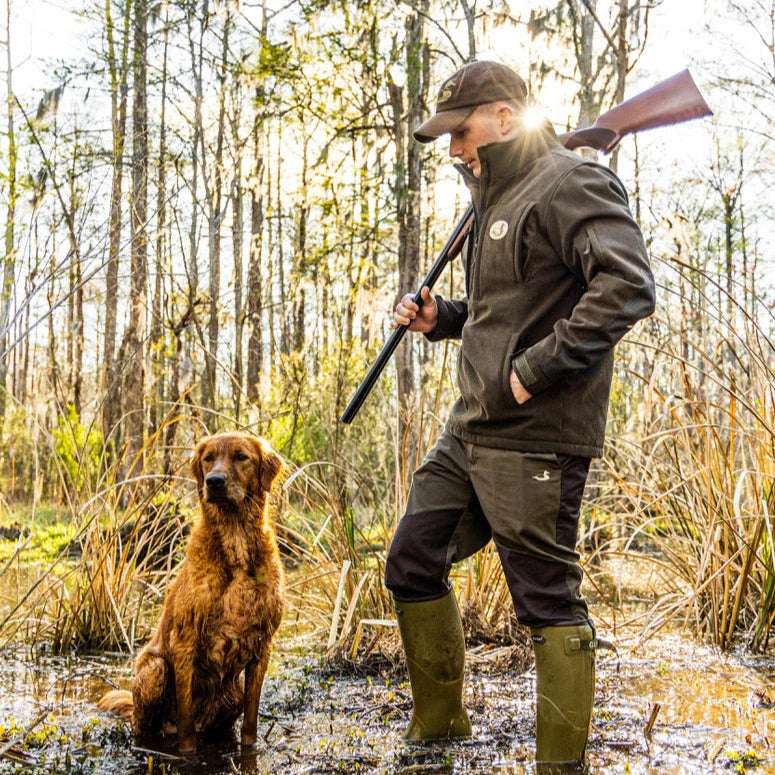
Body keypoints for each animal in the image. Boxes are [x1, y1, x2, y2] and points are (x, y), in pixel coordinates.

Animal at [100, 430, 284, 752]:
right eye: (208, 458)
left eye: (241, 456)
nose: (214, 481)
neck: (235, 542)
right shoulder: (185, 641)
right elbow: (186, 723)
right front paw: (187, 754)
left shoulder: (263, 645)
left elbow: (251, 720)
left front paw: (250, 747)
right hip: (155, 669)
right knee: (146, 724)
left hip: (234, 690)